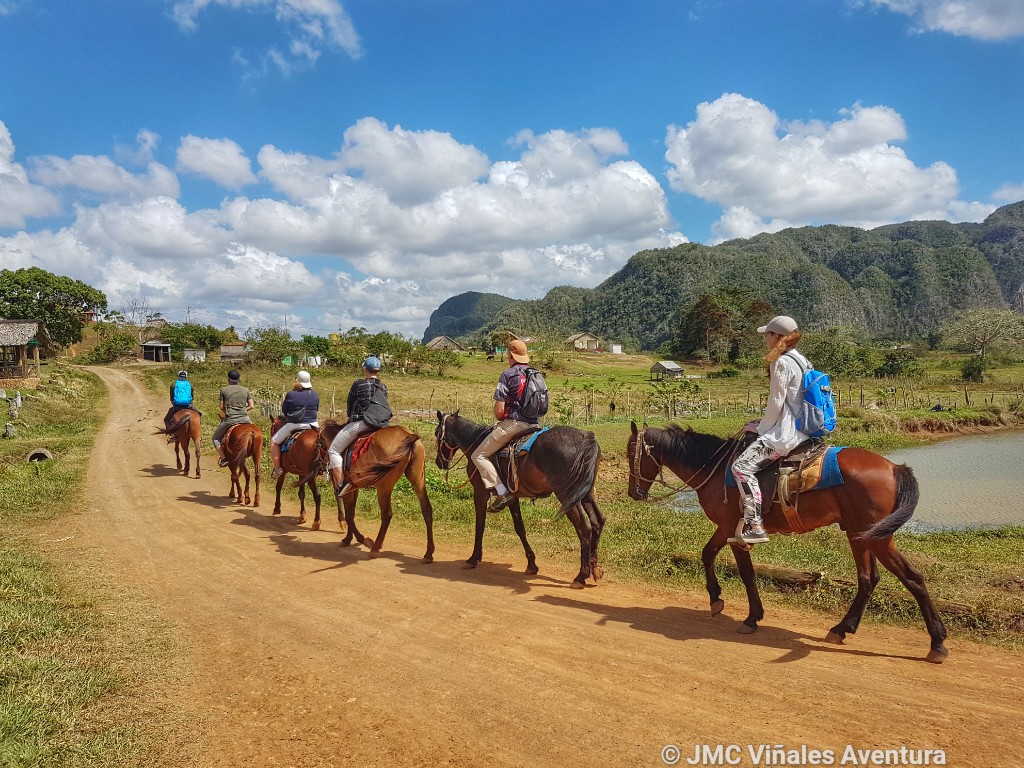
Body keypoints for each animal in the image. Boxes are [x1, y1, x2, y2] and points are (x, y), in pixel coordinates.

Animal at [312, 421, 434, 562]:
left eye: (317, 444)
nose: (316, 464)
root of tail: (408, 435)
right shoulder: (354, 488)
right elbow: (351, 513)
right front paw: (348, 539)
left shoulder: (346, 491)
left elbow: (349, 516)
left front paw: (363, 539)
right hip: (417, 479)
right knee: (427, 510)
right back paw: (428, 553)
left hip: (384, 485)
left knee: (387, 514)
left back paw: (375, 547)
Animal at [434, 411, 605, 589]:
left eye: (436, 433)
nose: (439, 462)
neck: (475, 442)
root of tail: (585, 437)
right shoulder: (512, 497)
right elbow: (520, 528)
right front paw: (531, 564)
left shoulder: (480, 492)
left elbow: (479, 525)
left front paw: (473, 558)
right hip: (585, 493)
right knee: (597, 521)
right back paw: (594, 568)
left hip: (566, 495)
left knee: (584, 528)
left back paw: (581, 576)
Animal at [626, 421, 948, 663]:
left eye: (631, 453)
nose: (633, 493)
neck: (714, 469)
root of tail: (894, 468)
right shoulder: (726, 528)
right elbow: (707, 554)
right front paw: (716, 600)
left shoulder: (734, 530)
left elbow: (746, 573)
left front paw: (751, 617)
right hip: (859, 535)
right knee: (868, 579)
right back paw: (843, 628)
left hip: (878, 538)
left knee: (912, 577)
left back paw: (937, 643)